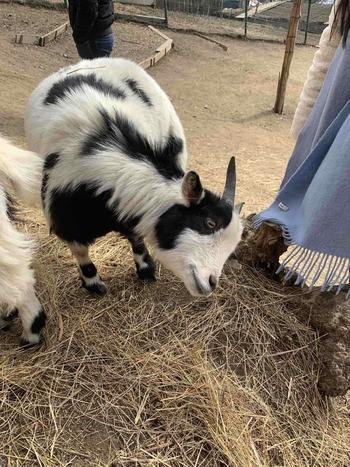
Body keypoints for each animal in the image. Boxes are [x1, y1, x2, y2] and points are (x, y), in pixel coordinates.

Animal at [25, 58, 243, 298]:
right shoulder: (64, 217)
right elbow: (80, 250)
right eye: (210, 222)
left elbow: (136, 235)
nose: (211, 283)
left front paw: (145, 267)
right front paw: (93, 283)